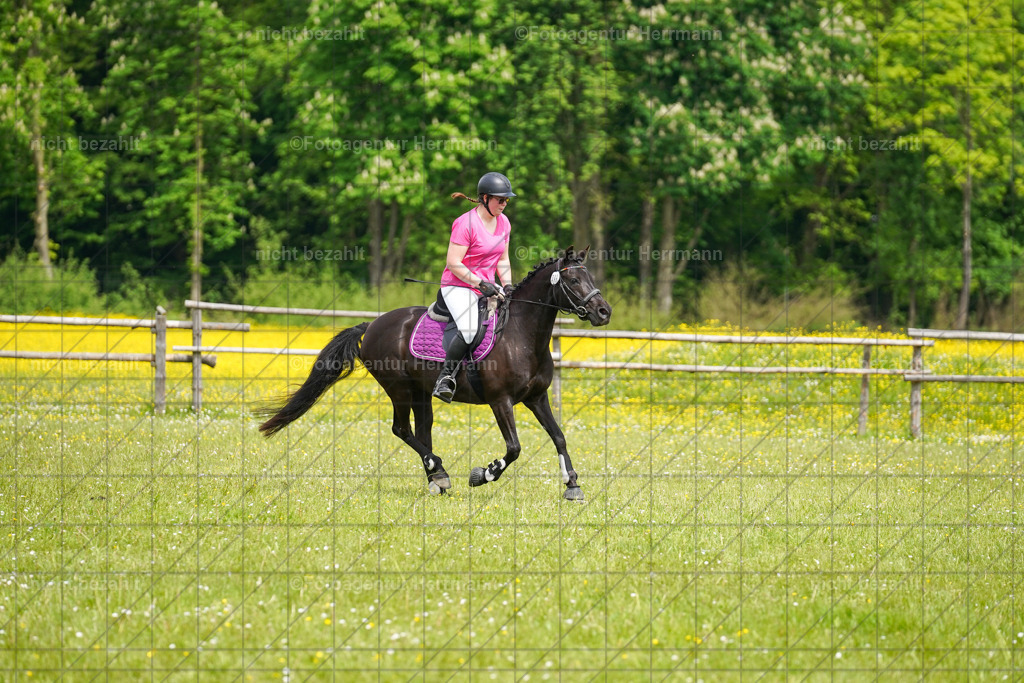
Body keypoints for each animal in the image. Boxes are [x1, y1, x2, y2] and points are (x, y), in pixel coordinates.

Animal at [257, 246, 612, 501]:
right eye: (573, 281)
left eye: (591, 278)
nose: (604, 312)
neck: (522, 335)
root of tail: (372, 325)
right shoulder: (501, 401)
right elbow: (514, 448)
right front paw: (484, 474)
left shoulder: (537, 398)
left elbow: (559, 436)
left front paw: (572, 485)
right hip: (399, 390)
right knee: (401, 429)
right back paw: (438, 470)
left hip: (420, 392)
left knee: (422, 431)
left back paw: (436, 478)